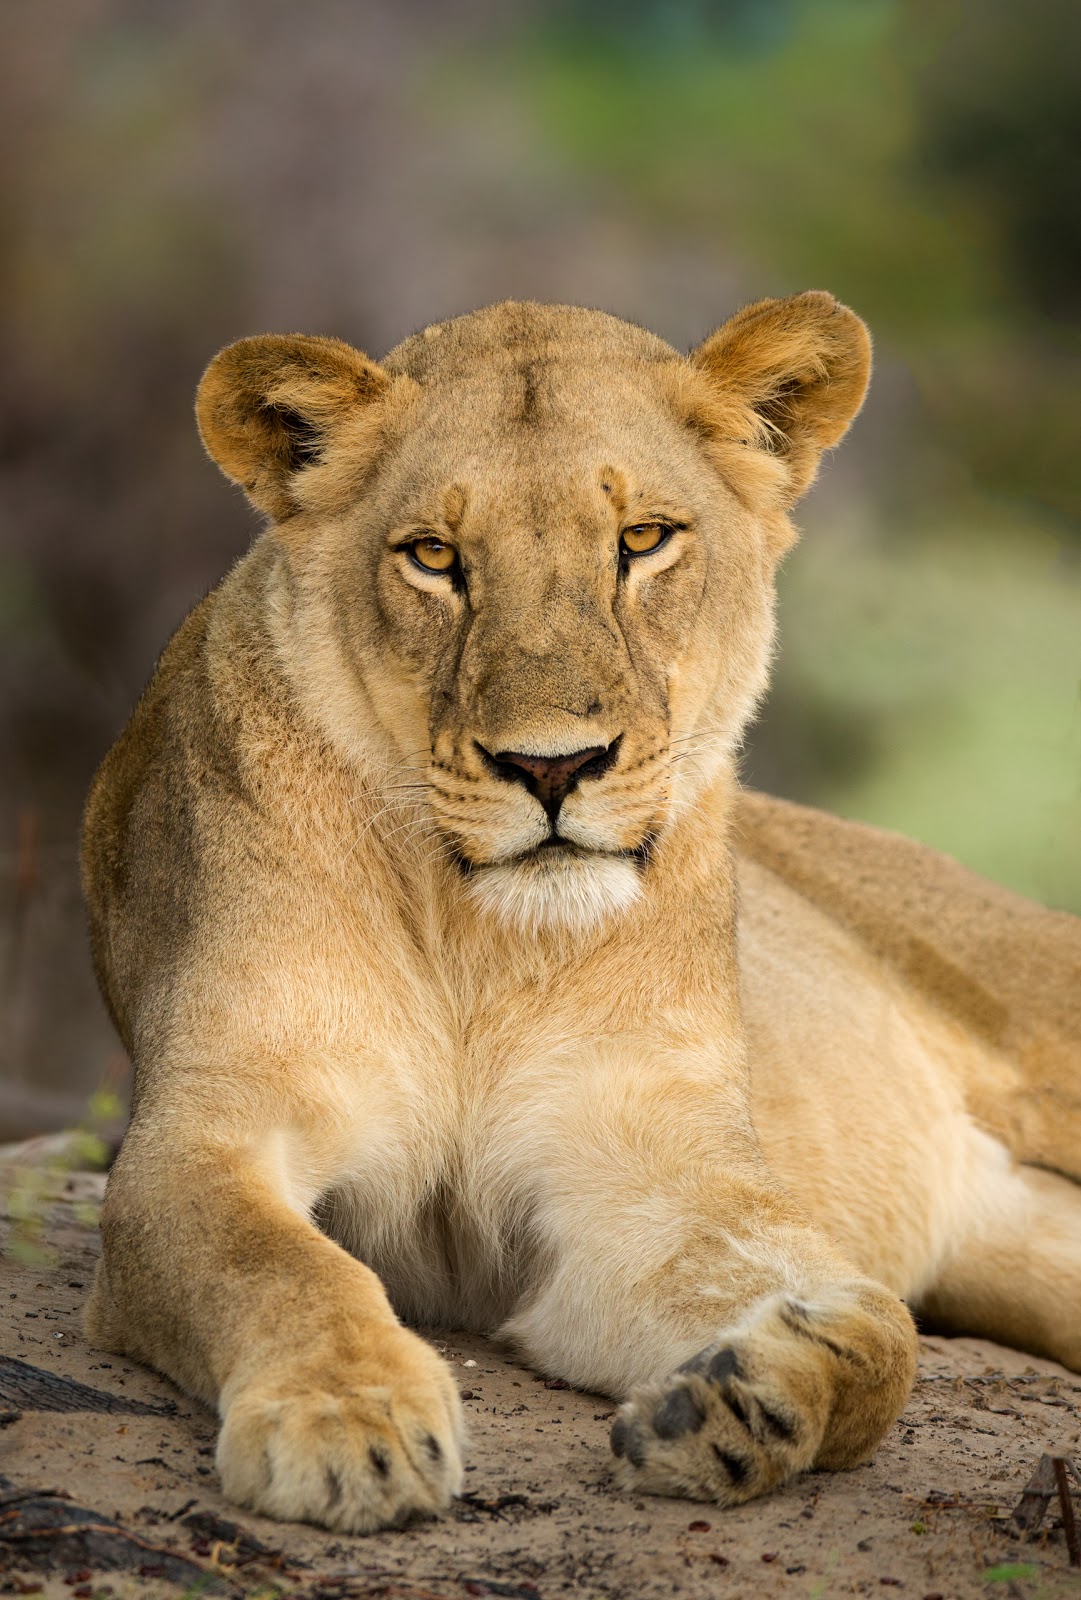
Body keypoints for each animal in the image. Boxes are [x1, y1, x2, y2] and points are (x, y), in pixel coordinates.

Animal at [80, 293, 1081, 1535]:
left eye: (643, 540)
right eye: (433, 557)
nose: (551, 766)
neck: (479, 943)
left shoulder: (639, 1177)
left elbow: (879, 1334)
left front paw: (746, 1402)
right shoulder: (203, 1130)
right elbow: (282, 1264)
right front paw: (348, 1421)